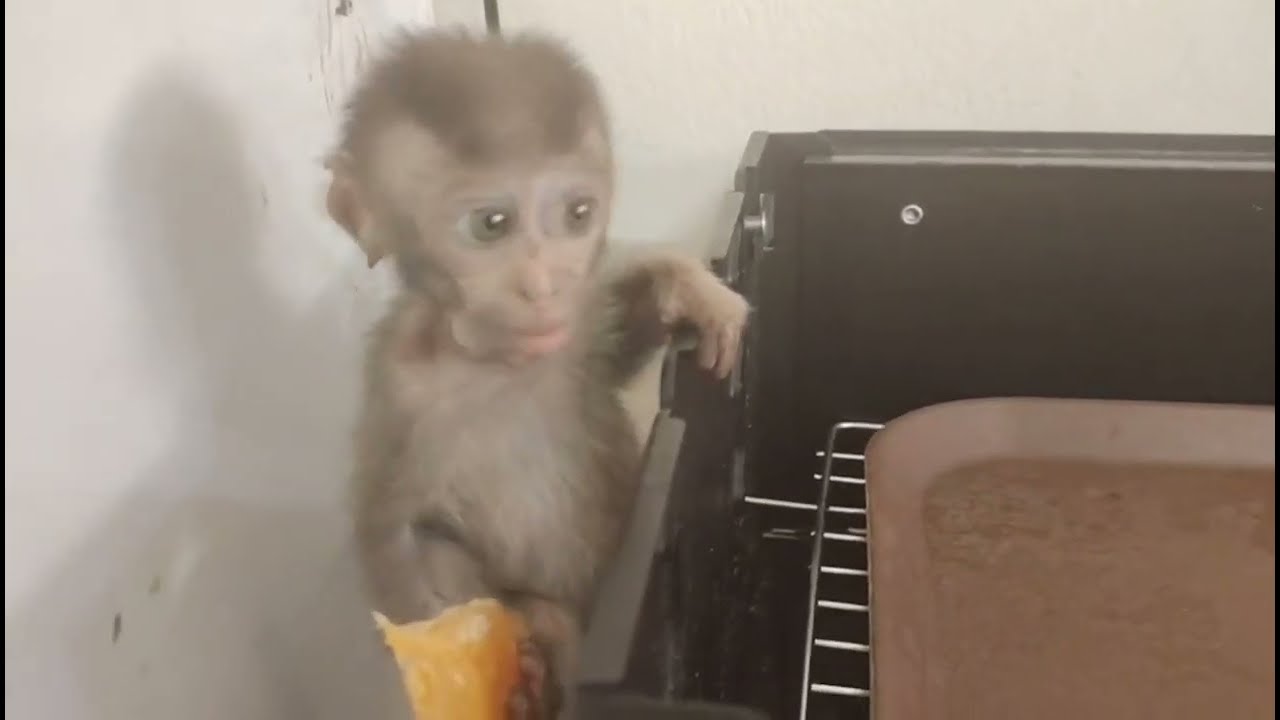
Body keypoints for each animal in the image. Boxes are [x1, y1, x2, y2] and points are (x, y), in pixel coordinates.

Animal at [322, 29, 749, 719]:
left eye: (578, 213)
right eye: (491, 225)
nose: (546, 284)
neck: (495, 362)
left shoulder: (578, 328)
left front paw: (689, 288)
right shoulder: (398, 387)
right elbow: (401, 534)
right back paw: (540, 666)